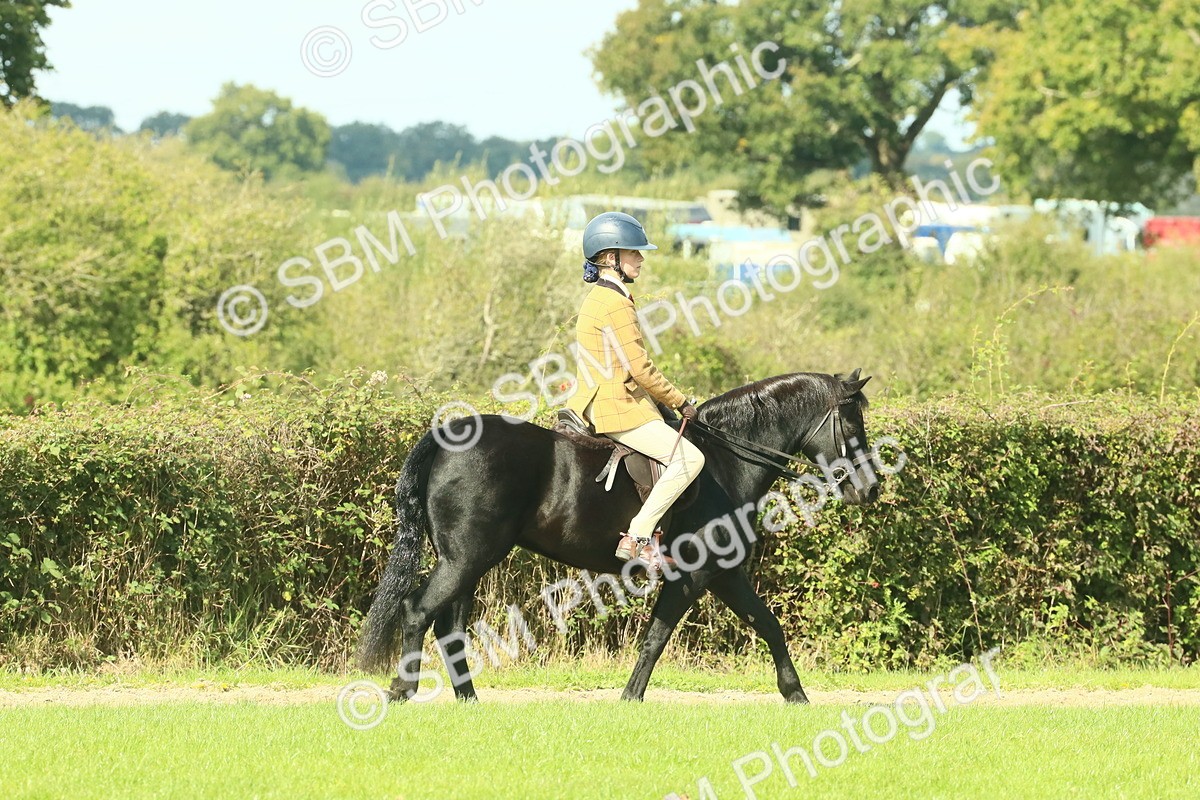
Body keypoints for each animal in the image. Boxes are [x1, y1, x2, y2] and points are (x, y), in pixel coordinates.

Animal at [358, 369, 881, 703]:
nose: (869, 488)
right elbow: (660, 637)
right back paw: (403, 691)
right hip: (467, 557)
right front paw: (631, 697)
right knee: (418, 610)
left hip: (467, 560)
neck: (728, 461)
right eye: (852, 423)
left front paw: (795, 695)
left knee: (449, 625)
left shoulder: (723, 574)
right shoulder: (699, 575)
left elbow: (765, 625)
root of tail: (448, 435)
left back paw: (468, 700)